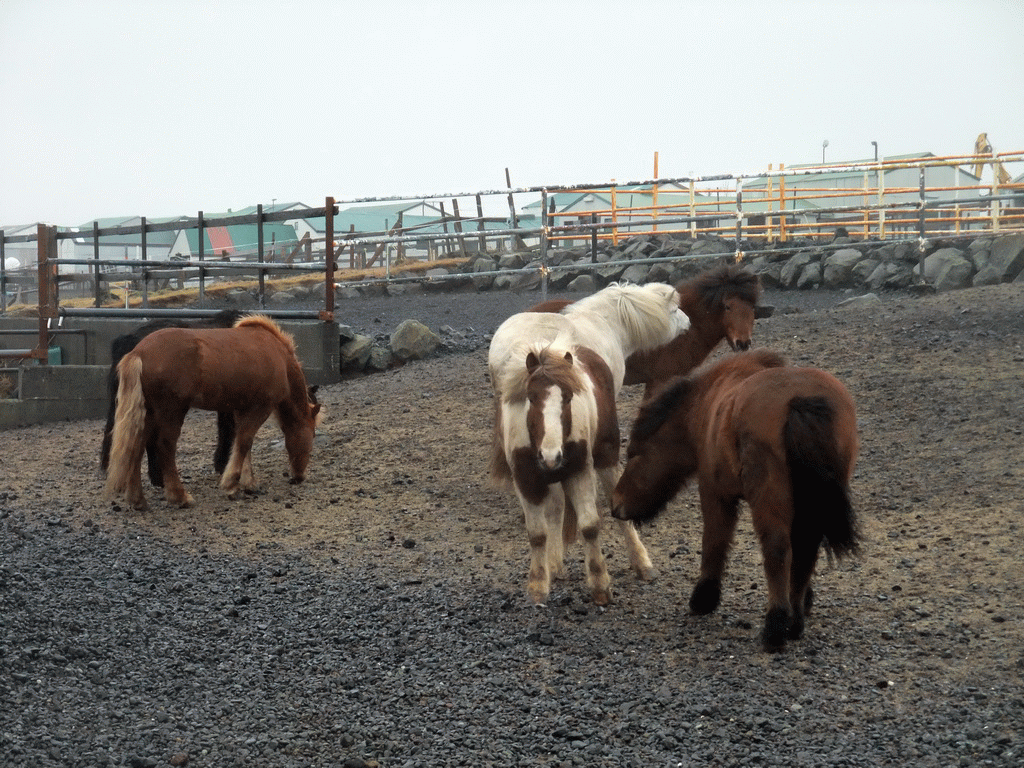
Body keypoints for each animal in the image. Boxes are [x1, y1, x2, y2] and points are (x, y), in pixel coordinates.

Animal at [103, 315, 319, 514]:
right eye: (312, 434)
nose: (299, 476)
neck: (278, 355)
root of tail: (138, 352)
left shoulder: (242, 409)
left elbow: (242, 443)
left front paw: (248, 482)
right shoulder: (260, 407)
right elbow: (244, 442)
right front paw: (232, 484)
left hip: (148, 413)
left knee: (136, 447)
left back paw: (137, 499)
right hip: (171, 412)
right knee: (164, 447)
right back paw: (179, 496)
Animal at [610, 352, 860, 651]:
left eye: (634, 454)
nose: (614, 503)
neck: (707, 403)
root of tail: (800, 401)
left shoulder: (715, 493)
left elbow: (714, 541)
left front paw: (703, 598)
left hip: (769, 499)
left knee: (777, 550)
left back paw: (776, 626)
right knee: (805, 550)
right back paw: (795, 621)